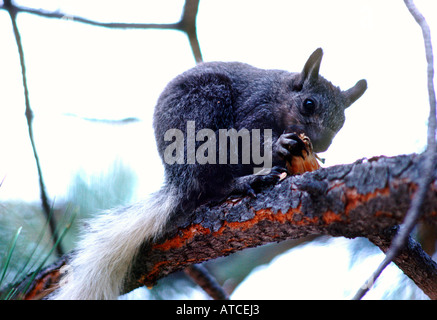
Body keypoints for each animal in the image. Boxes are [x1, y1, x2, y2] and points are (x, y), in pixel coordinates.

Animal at [49, 48, 366, 300]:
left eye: (342, 122)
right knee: (213, 184)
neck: (279, 95)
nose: (323, 143)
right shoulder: (253, 110)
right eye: (309, 104)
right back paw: (246, 181)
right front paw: (279, 145)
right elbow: (250, 140)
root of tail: (177, 181)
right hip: (205, 110)